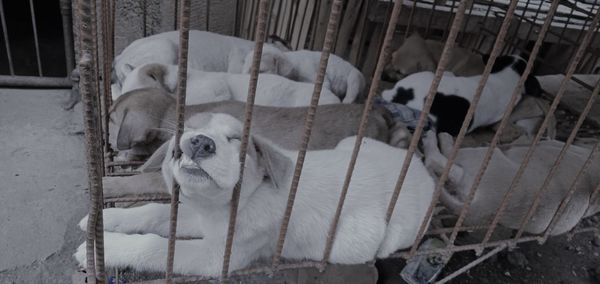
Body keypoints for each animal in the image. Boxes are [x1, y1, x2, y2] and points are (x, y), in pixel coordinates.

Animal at [76, 113, 436, 278]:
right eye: (188, 129)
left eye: (237, 140)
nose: (200, 142)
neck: (241, 200)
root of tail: (423, 169)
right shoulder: (203, 214)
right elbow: (154, 212)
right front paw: (104, 218)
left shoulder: (216, 256)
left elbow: (156, 246)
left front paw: (101, 250)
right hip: (352, 143)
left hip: (393, 233)